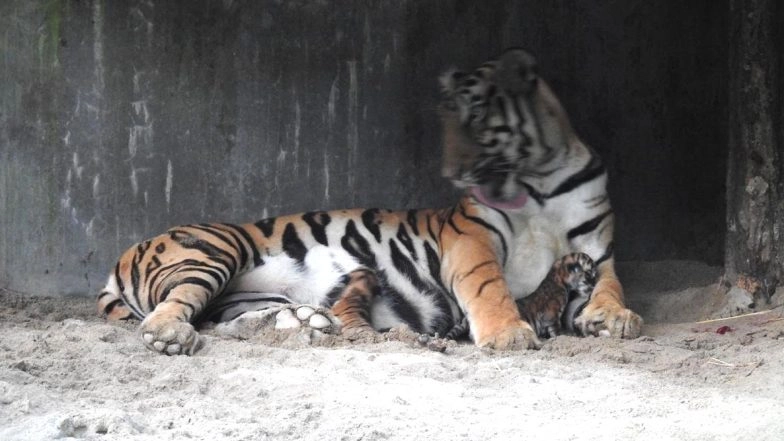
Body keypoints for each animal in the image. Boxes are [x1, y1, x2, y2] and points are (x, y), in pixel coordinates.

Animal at [443, 252, 597, 340]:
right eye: (589, 275)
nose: (595, 286)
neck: (557, 277)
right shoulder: (552, 314)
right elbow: (556, 328)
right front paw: (562, 336)